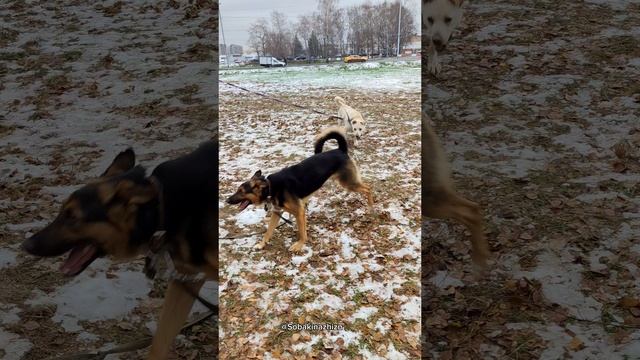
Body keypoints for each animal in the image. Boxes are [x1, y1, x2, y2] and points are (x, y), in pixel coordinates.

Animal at [21, 141, 218, 360]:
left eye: (72, 217)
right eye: (62, 212)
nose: (26, 245)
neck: (160, 208)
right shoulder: (185, 281)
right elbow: (159, 343)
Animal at [226, 126, 372, 253]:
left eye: (241, 191)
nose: (227, 200)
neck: (271, 187)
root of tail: (341, 149)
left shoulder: (299, 212)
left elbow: (302, 233)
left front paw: (299, 245)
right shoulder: (277, 212)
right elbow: (268, 231)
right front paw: (262, 244)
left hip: (348, 182)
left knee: (368, 188)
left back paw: (370, 207)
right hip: (346, 182)